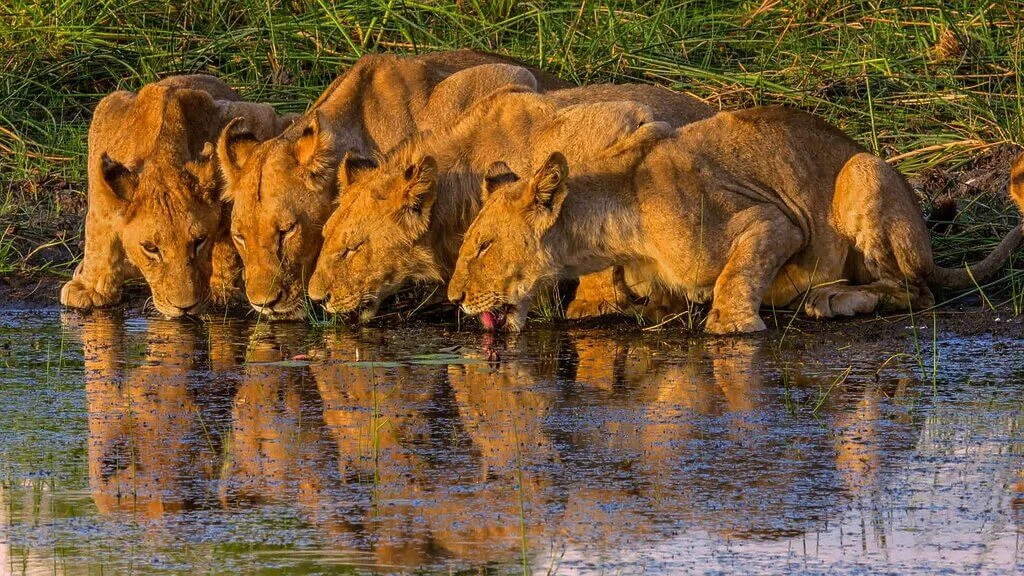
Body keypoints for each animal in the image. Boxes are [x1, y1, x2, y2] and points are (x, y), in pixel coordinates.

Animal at [60, 75, 294, 317]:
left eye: (199, 241)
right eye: (151, 248)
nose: (184, 308)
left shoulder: (257, 116)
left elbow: (229, 236)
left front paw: (222, 289)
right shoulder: (105, 117)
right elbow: (97, 231)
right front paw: (90, 288)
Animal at [449, 106, 1024, 333]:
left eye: (482, 246)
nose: (454, 298)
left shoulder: (774, 220)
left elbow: (737, 272)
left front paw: (730, 323)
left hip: (863, 171)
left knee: (916, 290)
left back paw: (831, 300)